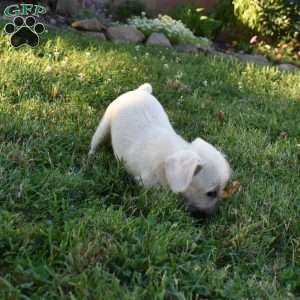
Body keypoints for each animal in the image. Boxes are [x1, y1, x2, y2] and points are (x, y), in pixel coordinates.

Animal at [88, 84, 231, 218]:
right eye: (211, 193)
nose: (215, 215)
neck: (166, 163)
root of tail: (140, 91)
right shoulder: (145, 183)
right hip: (104, 125)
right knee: (95, 143)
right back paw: (91, 158)